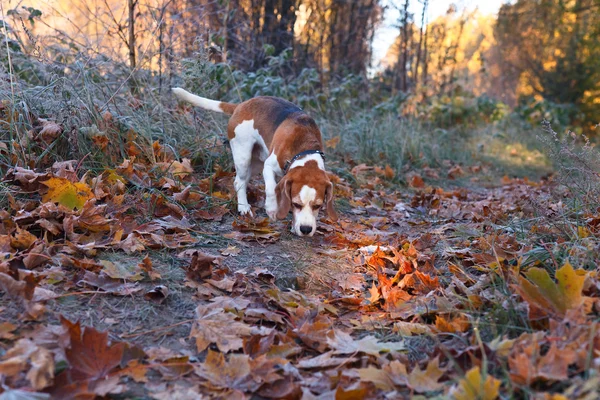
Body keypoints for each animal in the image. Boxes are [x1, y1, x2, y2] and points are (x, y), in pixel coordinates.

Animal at [172, 88, 338, 234]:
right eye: (296, 204)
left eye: (318, 206)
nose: (306, 230)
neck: (305, 149)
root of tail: (241, 105)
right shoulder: (269, 166)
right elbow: (271, 188)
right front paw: (271, 209)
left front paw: (293, 225)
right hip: (243, 155)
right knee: (238, 181)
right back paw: (244, 207)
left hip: (256, 162)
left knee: (244, 181)